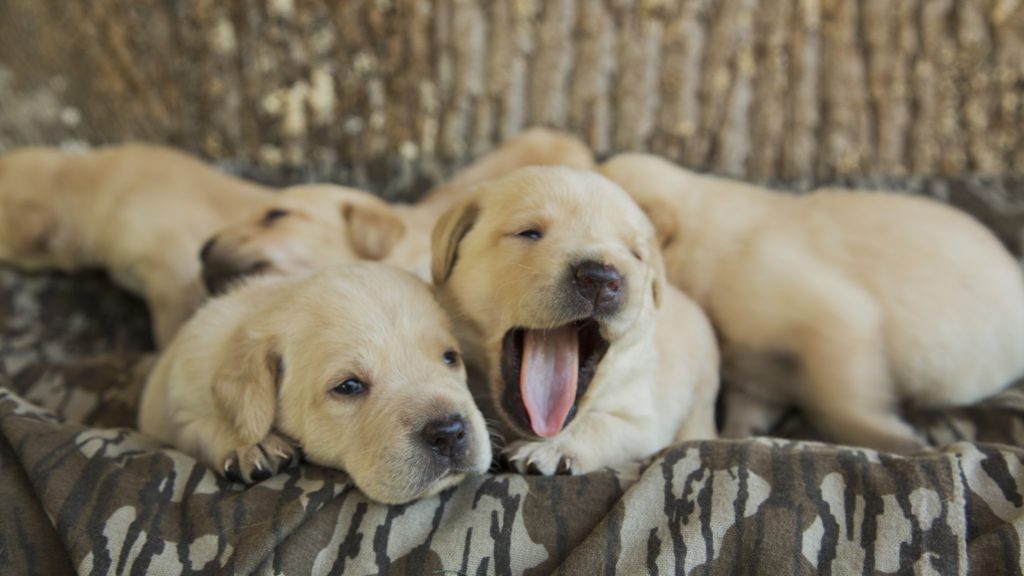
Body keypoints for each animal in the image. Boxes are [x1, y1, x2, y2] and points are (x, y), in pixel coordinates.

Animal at [138, 261, 489, 502]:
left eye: (450, 358)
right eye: (348, 386)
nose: (448, 432)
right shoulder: (175, 407)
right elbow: (197, 426)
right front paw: (251, 443)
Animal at [432, 165, 720, 471]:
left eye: (635, 254)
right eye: (529, 233)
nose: (601, 278)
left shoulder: (643, 418)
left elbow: (604, 425)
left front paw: (553, 450)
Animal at [598, 152, 1024, 453]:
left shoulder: (830, 315)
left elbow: (839, 399)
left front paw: (890, 438)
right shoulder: (756, 368)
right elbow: (751, 403)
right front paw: (739, 434)